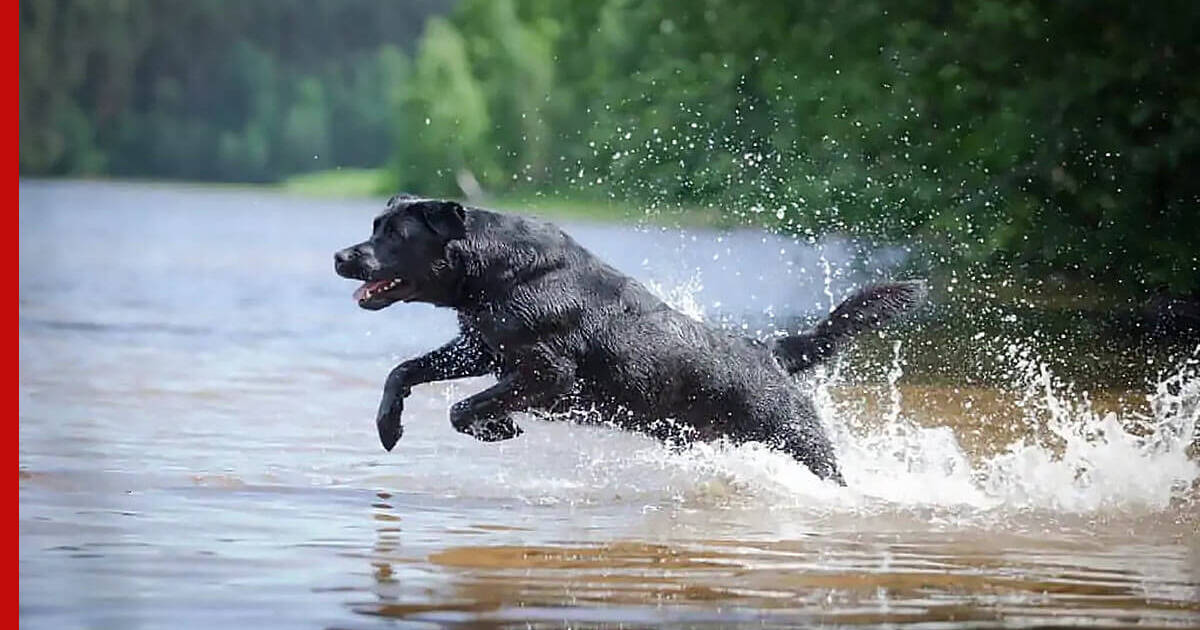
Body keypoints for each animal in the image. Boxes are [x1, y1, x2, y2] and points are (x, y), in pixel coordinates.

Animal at [333, 194, 921, 484]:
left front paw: (498, 427)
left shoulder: (548, 372)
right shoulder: (481, 348)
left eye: (394, 235)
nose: (341, 256)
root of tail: (771, 351)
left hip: (801, 441)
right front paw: (388, 425)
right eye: (374, 225)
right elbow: (403, 371)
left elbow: (463, 408)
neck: (496, 271)